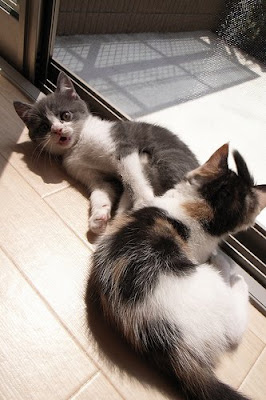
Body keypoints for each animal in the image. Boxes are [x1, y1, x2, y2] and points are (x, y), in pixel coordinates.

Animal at [13, 72, 198, 234]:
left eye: (65, 115)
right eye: (44, 127)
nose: (57, 130)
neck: (78, 145)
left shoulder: (123, 145)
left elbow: (133, 177)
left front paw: (144, 203)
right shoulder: (85, 171)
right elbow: (102, 189)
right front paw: (99, 217)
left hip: (166, 161)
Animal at [89, 145, 266, 400]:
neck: (201, 204)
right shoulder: (200, 249)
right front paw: (222, 256)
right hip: (211, 286)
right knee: (234, 328)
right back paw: (236, 277)